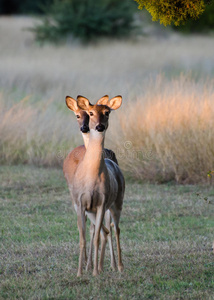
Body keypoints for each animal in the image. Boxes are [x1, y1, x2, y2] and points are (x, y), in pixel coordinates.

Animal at [69, 95, 124, 276]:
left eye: (107, 112)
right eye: (91, 112)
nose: (99, 126)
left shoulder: (102, 203)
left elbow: (97, 239)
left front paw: (94, 272)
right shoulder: (80, 204)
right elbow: (83, 239)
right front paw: (80, 272)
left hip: (117, 203)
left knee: (115, 229)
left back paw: (119, 266)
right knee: (105, 231)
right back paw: (100, 266)